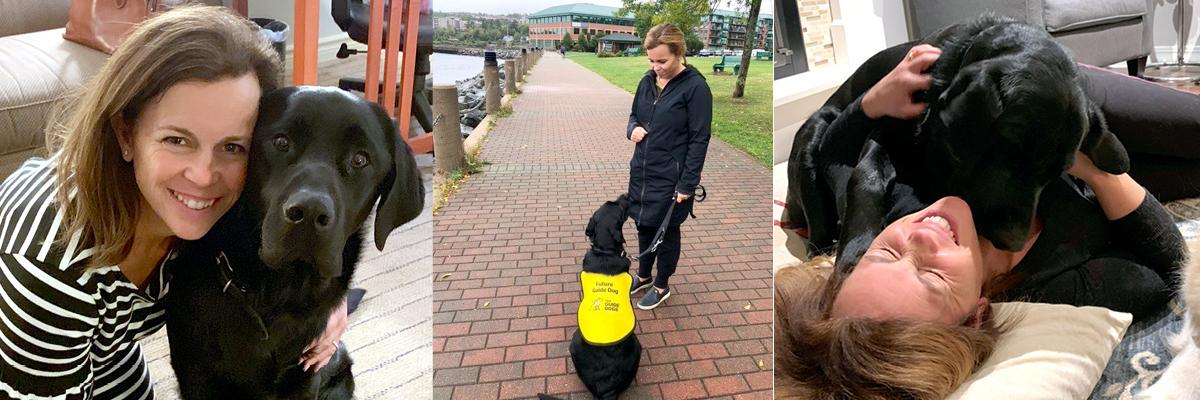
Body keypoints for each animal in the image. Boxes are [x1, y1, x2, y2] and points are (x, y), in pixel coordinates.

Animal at [164, 85, 427, 396]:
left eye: (360, 159)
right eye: (281, 141)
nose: (310, 211)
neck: (275, 296)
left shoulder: (305, 375)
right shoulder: (198, 375)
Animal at [792, 14, 1128, 258]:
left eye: (1053, 175)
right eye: (1010, 155)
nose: (1014, 243)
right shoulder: (887, 124)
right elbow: (867, 175)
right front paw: (857, 247)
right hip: (814, 133)